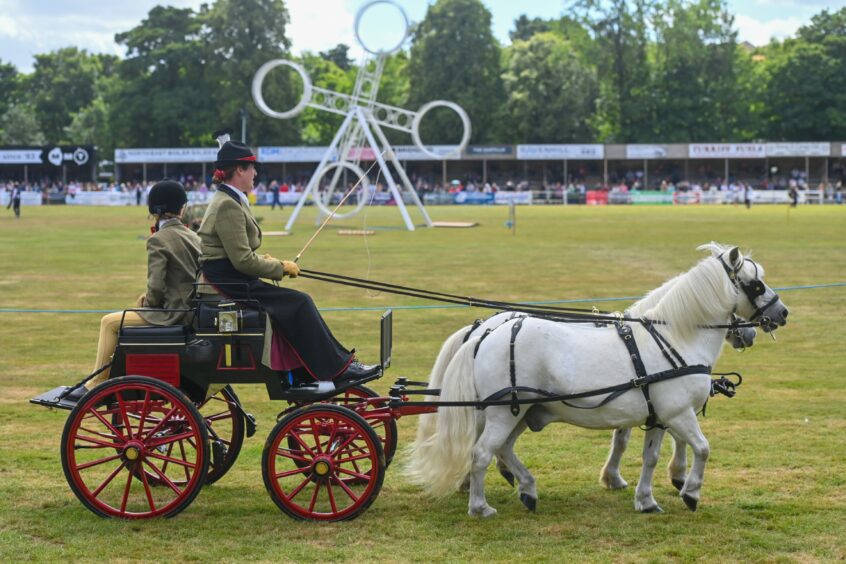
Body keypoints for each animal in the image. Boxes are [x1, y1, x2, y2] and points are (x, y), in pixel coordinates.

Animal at [410, 243, 788, 516]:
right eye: (755, 284)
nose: (782, 313)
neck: (674, 338)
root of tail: (485, 333)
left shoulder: (657, 417)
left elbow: (648, 457)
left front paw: (645, 499)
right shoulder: (679, 414)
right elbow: (702, 448)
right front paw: (690, 491)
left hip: (520, 412)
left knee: (501, 449)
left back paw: (526, 488)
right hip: (505, 412)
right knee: (481, 453)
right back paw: (480, 505)